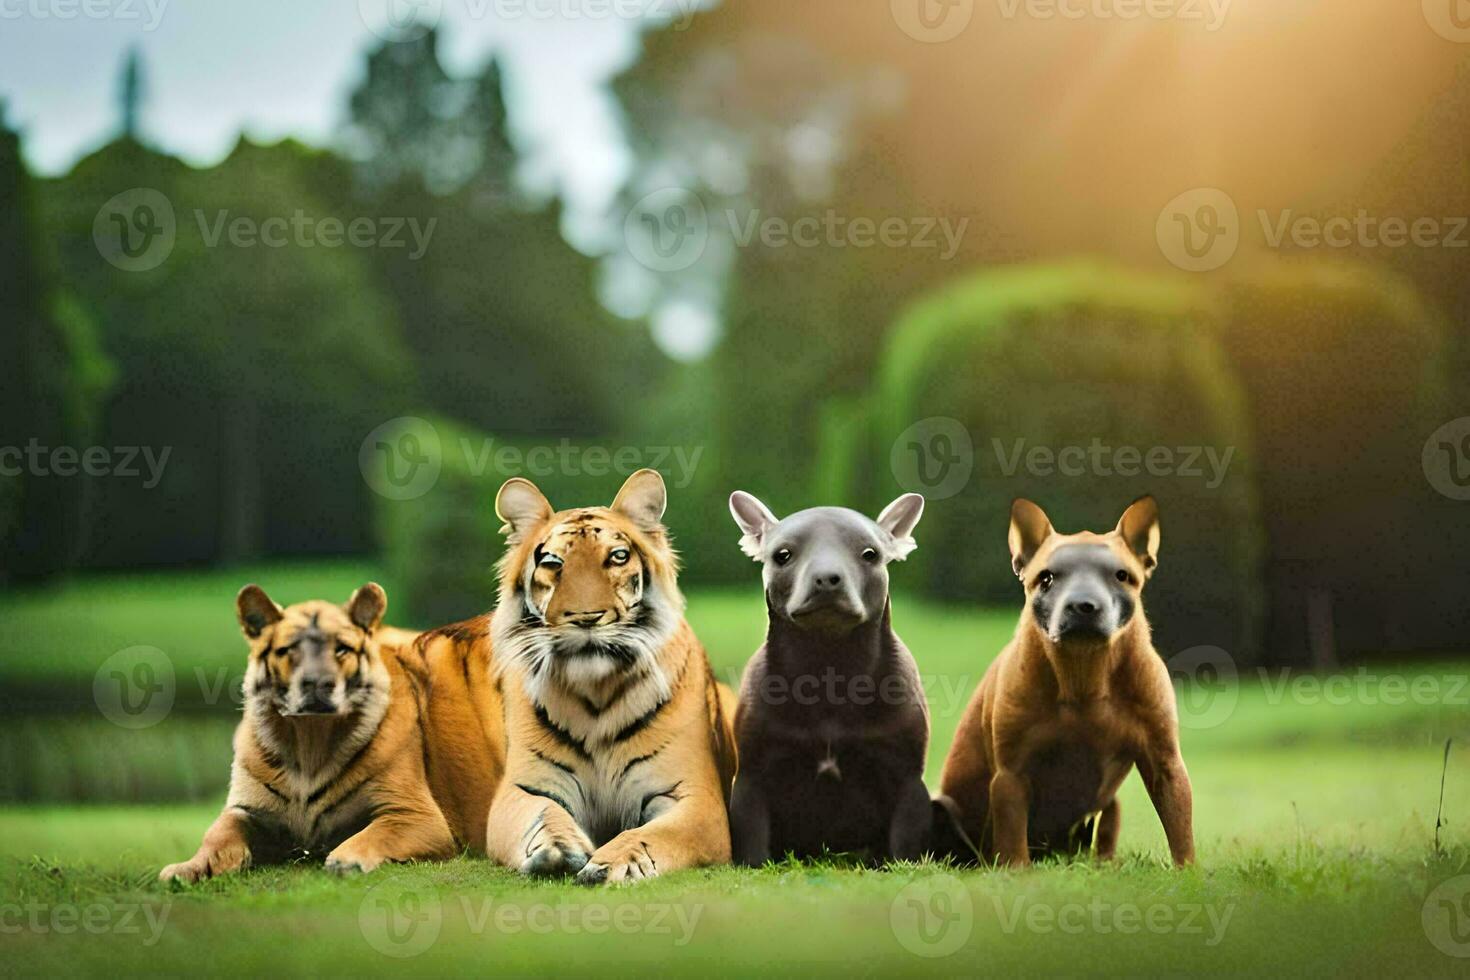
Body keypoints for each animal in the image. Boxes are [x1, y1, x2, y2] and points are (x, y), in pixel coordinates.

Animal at [158, 581, 461, 881]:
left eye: (341, 649)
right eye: (289, 649)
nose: (318, 682)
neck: (309, 739)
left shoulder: (414, 813)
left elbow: (376, 834)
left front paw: (345, 861)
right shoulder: (245, 809)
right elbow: (217, 834)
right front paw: (185, 869)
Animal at [417, 464, 740, 887]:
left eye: (617, 557)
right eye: (554, 563)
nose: (586, 618)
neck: (596, 695)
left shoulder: (695, 799)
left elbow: (651, 836)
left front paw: (612, 862)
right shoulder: (523, 790)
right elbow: (544, 818)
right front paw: (558, 850)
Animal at [940, 499, 1193, 863]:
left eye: (1122, 576)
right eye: (1045, 578)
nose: (1083, 605)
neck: (1083, 670)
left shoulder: (1165, 763)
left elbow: (1180, 830)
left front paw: (1188, 871)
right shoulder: (1011, 774)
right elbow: (1012, 837)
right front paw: (1017, 870)